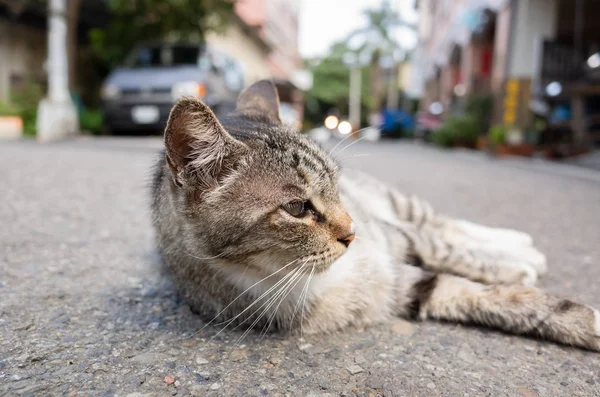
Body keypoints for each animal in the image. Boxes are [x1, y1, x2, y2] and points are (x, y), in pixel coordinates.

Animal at [151, 79, 600, 348]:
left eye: (336, 185)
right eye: (297, 208)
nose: (352, 233)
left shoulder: (394, 238)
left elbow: (449, 252)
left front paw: (514, 267)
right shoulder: (402, 288)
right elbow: (476, 293)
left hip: (397, 209)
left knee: (439, 224)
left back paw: (517, 245)